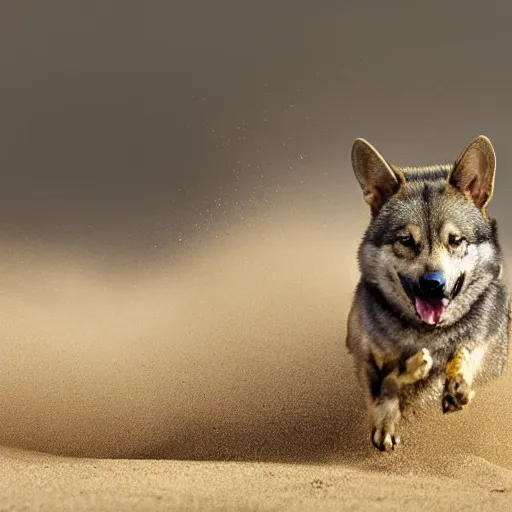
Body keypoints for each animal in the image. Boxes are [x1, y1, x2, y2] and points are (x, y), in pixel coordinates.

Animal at [346, 135, 510, 452]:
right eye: (406, 241)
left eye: (455, 240)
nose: (432, 284)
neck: (426, 335)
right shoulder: (364, 357)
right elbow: (385, 387)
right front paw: (388, 418)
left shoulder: (485, 342)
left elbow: (466, 351)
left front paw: (455, 385)